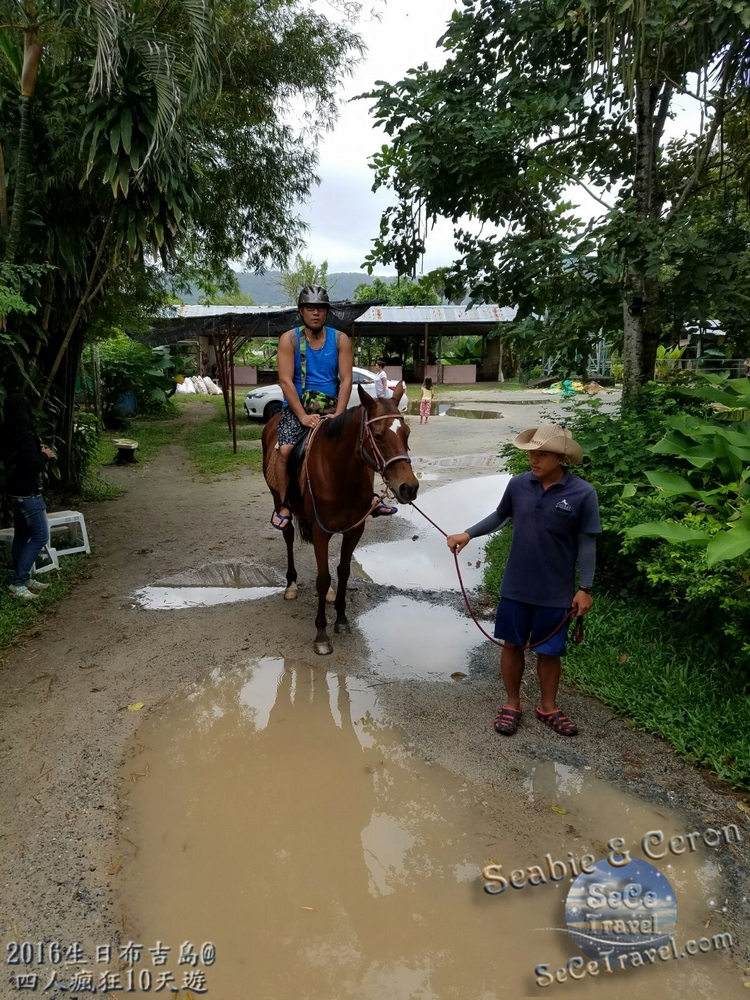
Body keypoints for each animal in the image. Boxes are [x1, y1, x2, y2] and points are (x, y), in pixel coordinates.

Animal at [262, 382, 418, 656]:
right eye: (377, 435)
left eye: (406, 433)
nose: (409, 488)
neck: (339, 471)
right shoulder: (320, 531)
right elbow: (322, 578)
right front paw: (321, 634)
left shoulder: (354, 529)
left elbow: (343, 571)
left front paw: (342, 620)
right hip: (279, 500)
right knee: (288, 537)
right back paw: (291, 585)